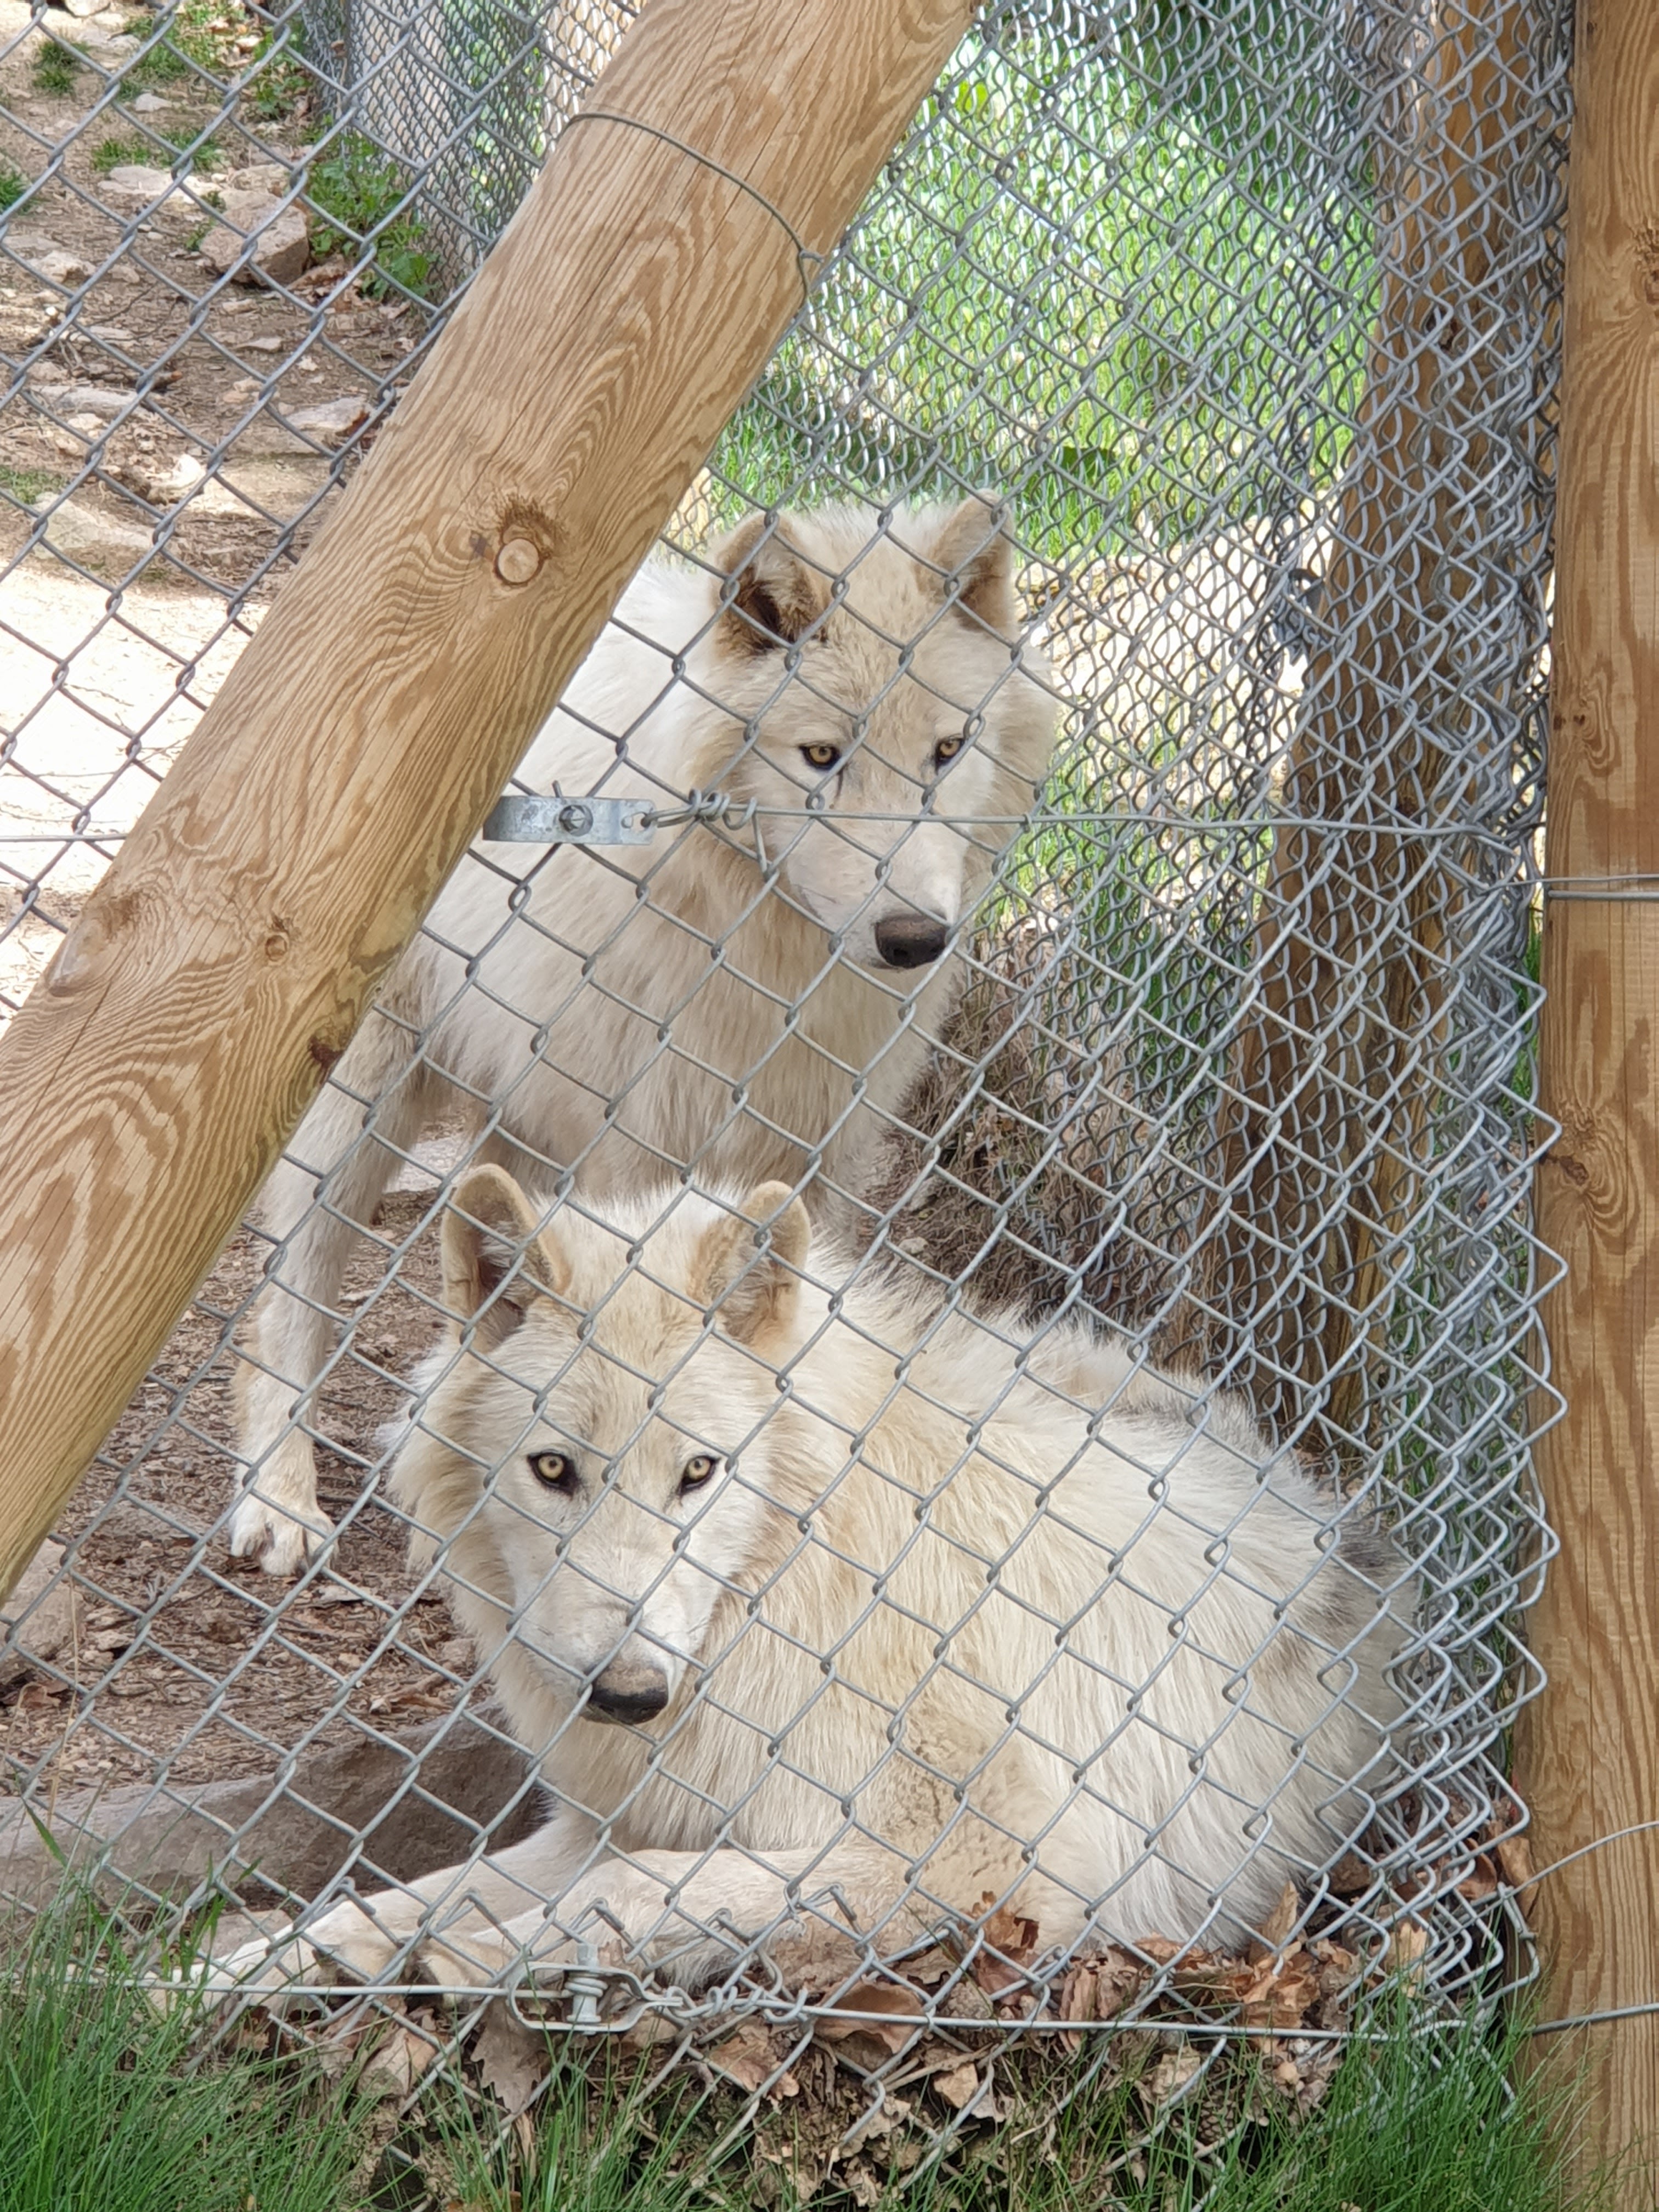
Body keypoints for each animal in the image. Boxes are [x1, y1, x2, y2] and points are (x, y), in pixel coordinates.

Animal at [226, 1166, 1410, 1997]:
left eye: (698, 1473)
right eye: (553, 1470)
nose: (628, 1695)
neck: (801, 1589)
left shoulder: (991, 1858)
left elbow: (625, 1894)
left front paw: (469, 1966)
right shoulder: (632, 1815)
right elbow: (386, 1905)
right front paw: (225, 1975)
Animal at [228, 495, 1058, 1575]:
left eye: (948, 751)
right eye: (821, 757)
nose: (915, 939)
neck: (759, 949)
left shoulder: (819, 1156)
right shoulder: (637, 1148)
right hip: (362, 1114)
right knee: (289, 1300)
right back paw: (279, 1499)